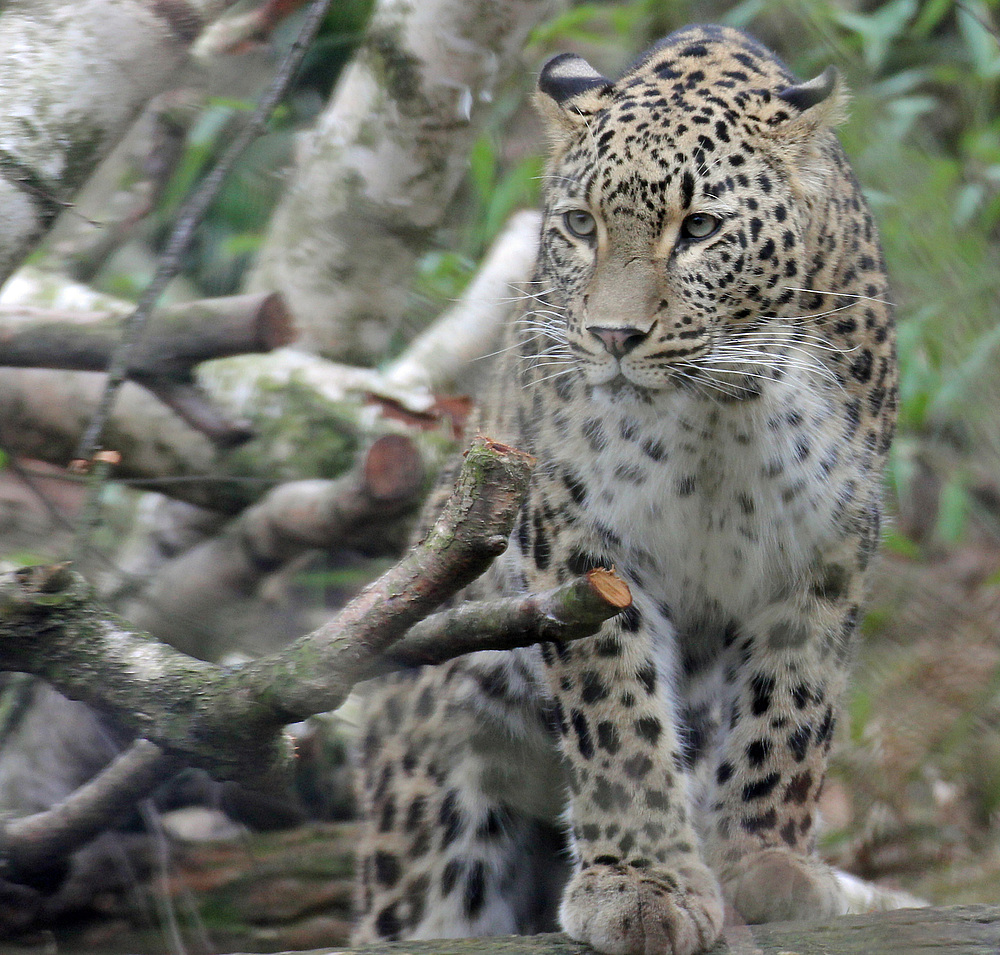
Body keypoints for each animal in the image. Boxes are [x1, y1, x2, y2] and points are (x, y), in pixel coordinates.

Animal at [350, 24, 900, 955]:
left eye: (700, 228)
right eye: (581, 225)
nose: (612, 336)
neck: (721, 405)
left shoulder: (829, 538)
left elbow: (792, 701)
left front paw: (767, 862)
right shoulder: (579, 538)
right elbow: (618, 713)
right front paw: (642, 884)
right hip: (430, 820)